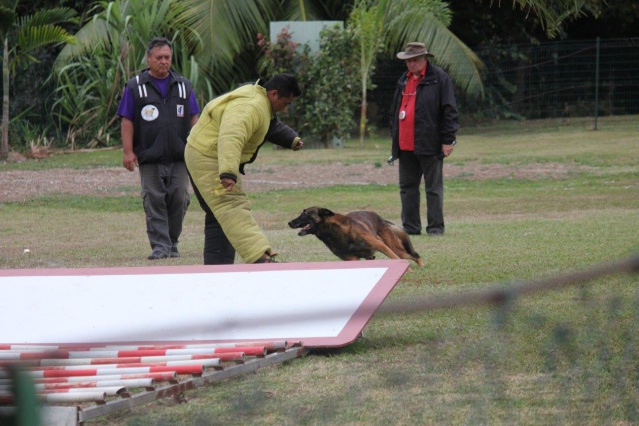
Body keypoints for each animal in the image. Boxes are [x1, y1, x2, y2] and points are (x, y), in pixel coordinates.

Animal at [288, 207, 424, 267]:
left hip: (393, 247)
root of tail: (381, 218)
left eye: (305, 213)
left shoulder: (381, 246)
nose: (289, 223)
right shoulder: (351, 259)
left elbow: (396, 259)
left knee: (412, 255)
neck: (333, 232)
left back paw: (421, 265)